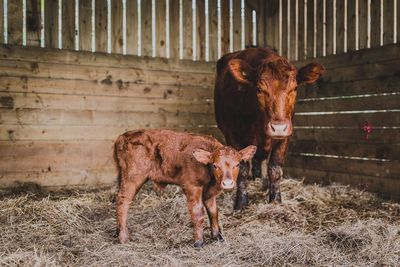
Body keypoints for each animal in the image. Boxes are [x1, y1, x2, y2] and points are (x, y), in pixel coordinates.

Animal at [113, 129, 256, 248]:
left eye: (237, 164)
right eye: (215, 165)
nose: (227, 183)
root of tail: (124, 136)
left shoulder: (210, 193)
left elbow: (213, 212)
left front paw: (217, 236)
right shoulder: (192, 186)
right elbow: (198, 213)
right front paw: (199, 242)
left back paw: (118, 231)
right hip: (133, 177)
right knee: (123, 202)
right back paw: (123, 237)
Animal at [214, 47, 324, 210]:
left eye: (295, 88)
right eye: (259, 89)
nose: (278, 128)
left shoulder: (285, 137)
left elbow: (275, 169)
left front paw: (275, 201)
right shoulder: (233, 136)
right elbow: (242, 171)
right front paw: (241, 204)